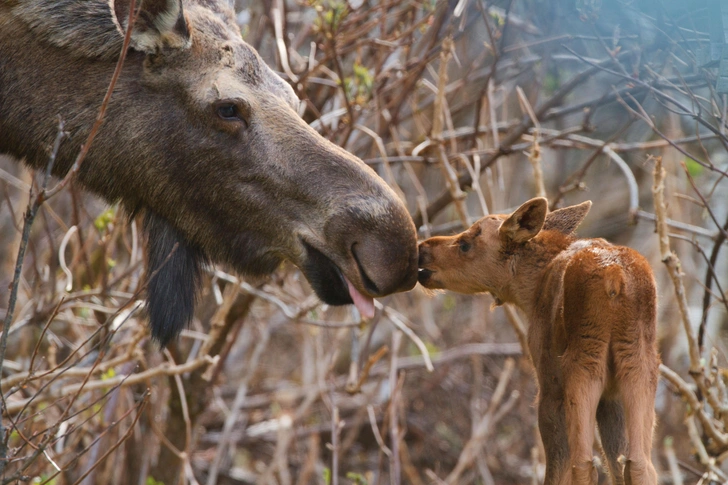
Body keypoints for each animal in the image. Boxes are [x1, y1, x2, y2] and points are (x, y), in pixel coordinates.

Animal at [416, 198, 660, 484]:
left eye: (466, 244)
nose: (422, 248)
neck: (529, 292)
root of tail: (615, 278)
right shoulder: (611, 398)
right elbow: (617, 462)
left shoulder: (549, 385)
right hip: (638, 368)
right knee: (640, 464)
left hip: (582, 366)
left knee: (583, 463)